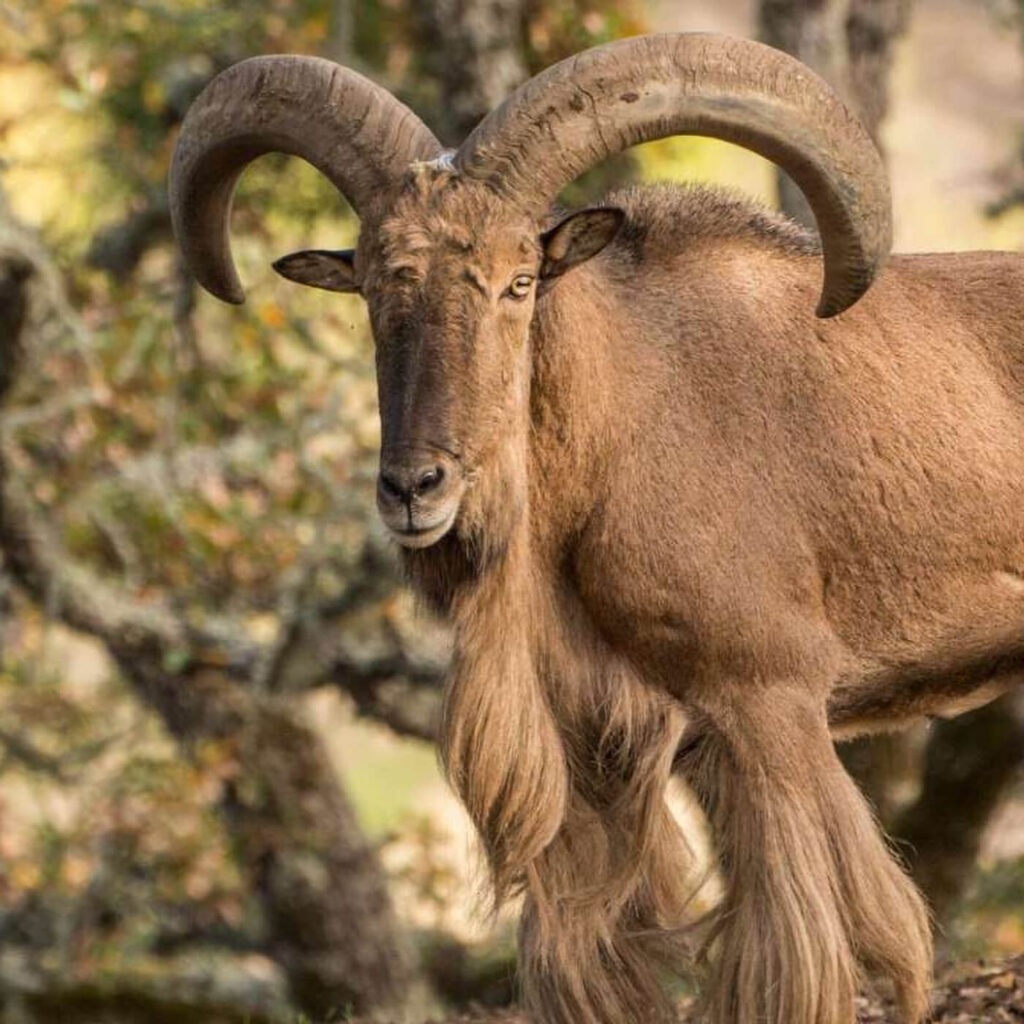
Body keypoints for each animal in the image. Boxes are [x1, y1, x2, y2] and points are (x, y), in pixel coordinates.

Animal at [169, 32, 1024, 1024]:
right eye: (377, 288)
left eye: (519, 282)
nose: (415, 487)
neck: (624, 420)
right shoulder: (612, 745)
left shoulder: (770, 694)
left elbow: (829, 938)